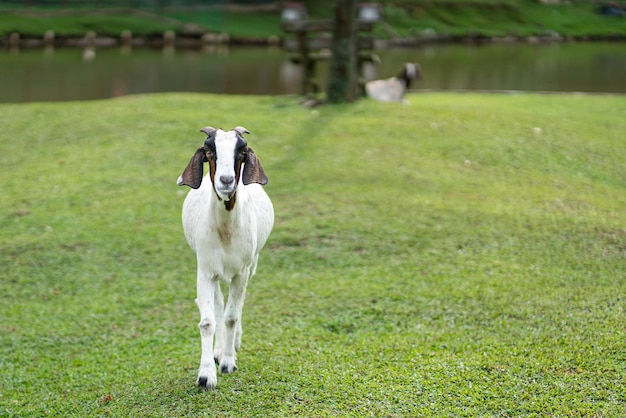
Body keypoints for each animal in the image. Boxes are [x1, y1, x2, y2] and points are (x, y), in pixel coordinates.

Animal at [176, 125, 272, 388]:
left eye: (242, 152)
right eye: (209, 151)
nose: (227, 180)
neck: (226, 231)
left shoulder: (241, 272)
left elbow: (231, 316)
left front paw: (229, 363)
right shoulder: (206, 271)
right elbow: (208, 320)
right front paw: (206, 374)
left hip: (252, 265)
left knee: (236, 307)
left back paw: (233, 344)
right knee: (219, 304)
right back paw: (218, 351)